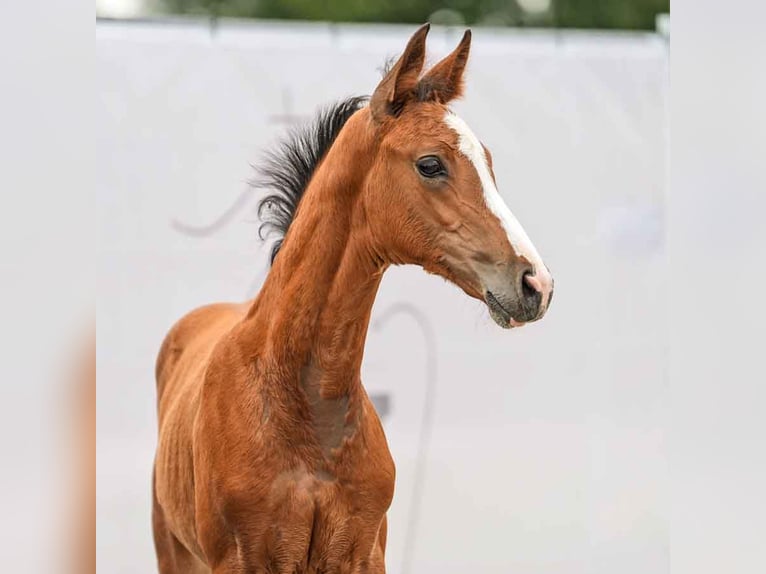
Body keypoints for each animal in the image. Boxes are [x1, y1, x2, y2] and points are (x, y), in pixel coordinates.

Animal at [154, 24, 552, 572]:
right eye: (431, 164)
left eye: (488, 163)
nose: (536, 283)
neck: (306, 405)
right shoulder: (240, 559)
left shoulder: (363, 554)